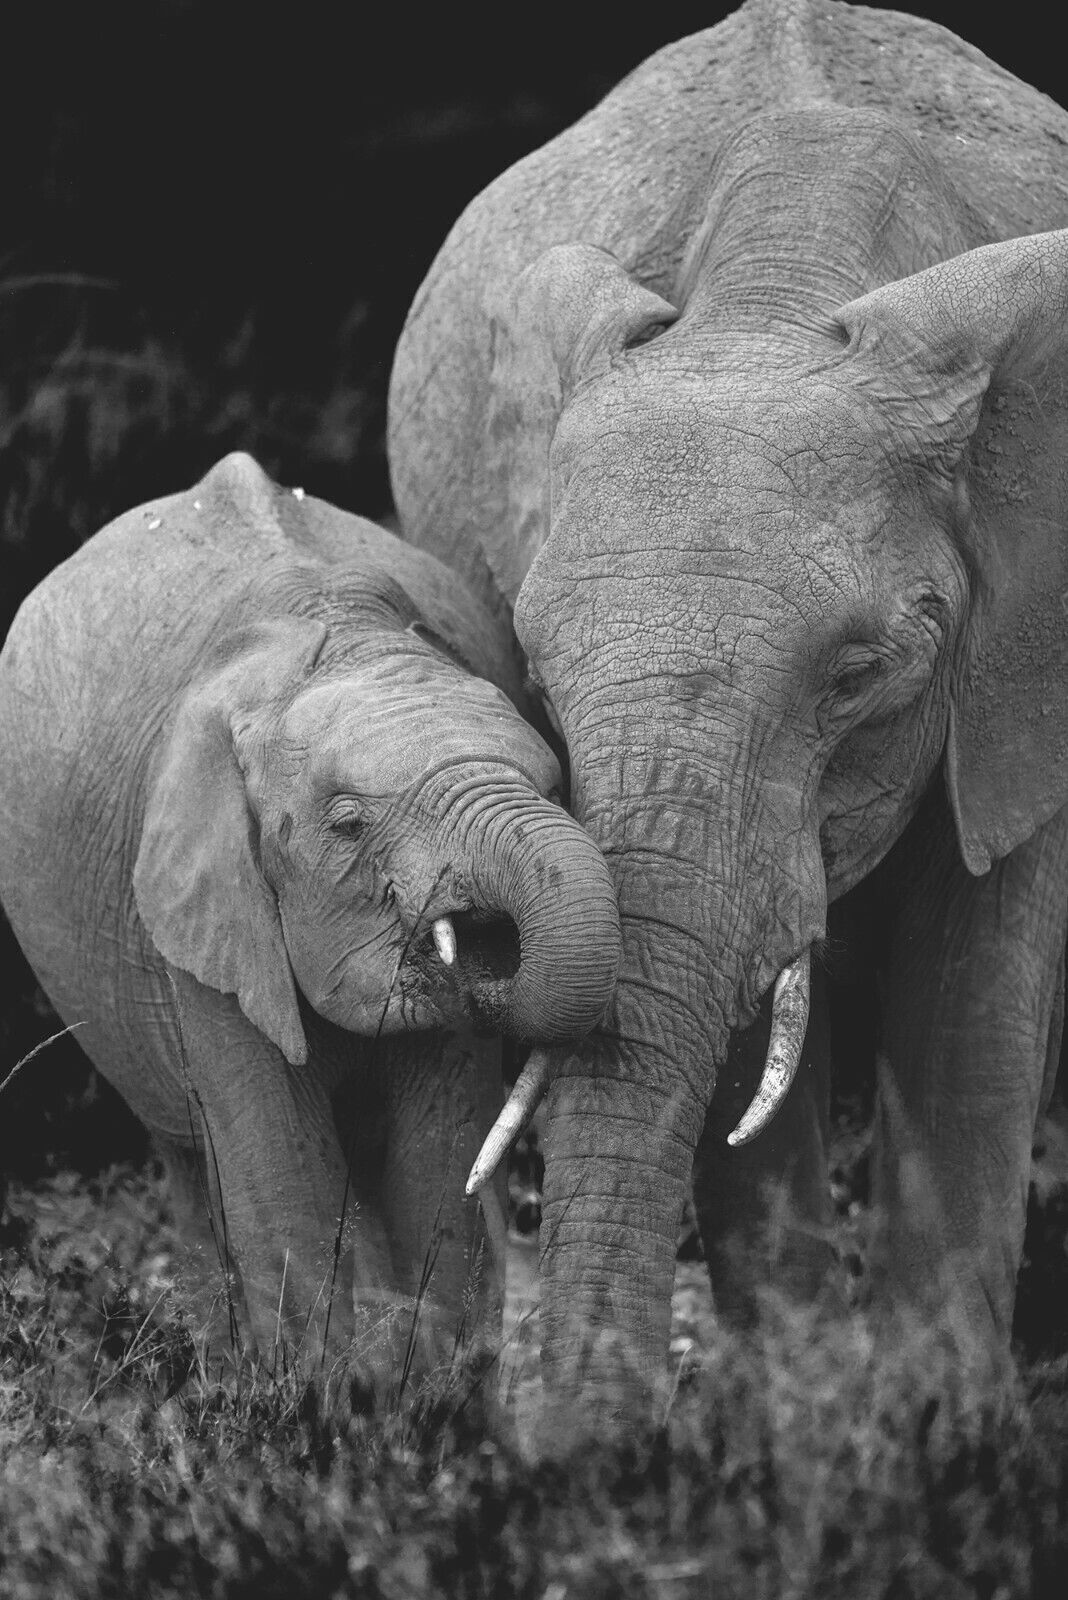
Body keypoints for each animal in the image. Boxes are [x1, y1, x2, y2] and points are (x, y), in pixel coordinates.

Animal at [0, 451, 620, 1383]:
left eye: (552, 786)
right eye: (349, 824)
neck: (333, 636)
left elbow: (435, 1168)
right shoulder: (200, 907)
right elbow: (284, 1187)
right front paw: (316, 1406)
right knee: (192, 1163)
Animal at [388, 0, 1068, 1406]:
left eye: (858, 676)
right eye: (537, 673)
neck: (780, 289)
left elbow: (981, 970)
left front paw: (938, 1433)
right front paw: (803, 1425)